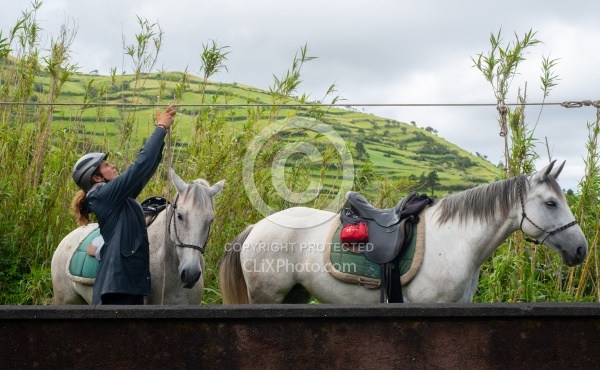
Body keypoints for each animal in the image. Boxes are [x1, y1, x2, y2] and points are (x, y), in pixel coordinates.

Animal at [219, 161, 584, 304]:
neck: (457, 241)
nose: (580, 249)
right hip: (267, 297)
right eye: (551, 203)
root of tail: (256, 228)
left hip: (295, 294)